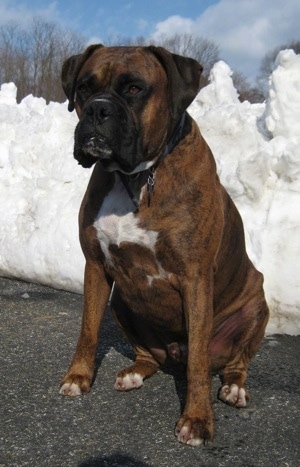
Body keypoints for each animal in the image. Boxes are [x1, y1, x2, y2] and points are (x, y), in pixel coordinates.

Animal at [59, 44, 270, 446]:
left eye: (134, 89)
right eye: (84, 88)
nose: (97, 109)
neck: (138, 178)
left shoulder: (196, 279)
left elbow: (199, 361)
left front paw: (198, 419)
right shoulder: (95, 266)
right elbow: (87, 330)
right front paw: (77, 378)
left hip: (255, 308)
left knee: (234, 363)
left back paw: (234, 389)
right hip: (122, 303)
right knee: (149, 356)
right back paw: (133, 372)